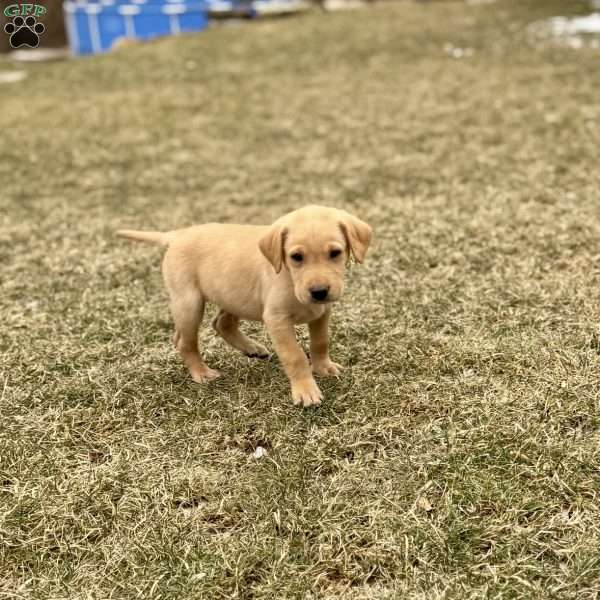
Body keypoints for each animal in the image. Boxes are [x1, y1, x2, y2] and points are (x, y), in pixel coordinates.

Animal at [117, 206, 370, 408]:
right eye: (296, 256)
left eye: (335, 253)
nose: (319, 291)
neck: (289, 277)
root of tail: (178, 234)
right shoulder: (277, 319)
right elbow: (295, 356)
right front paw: (306, 391)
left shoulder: (322, 312)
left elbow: (320, 342)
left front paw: (324, 367)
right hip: (189, 303)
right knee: (184, 341)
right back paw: (201, 373)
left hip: (232, 294)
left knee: (221, 323)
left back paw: (252, 348)